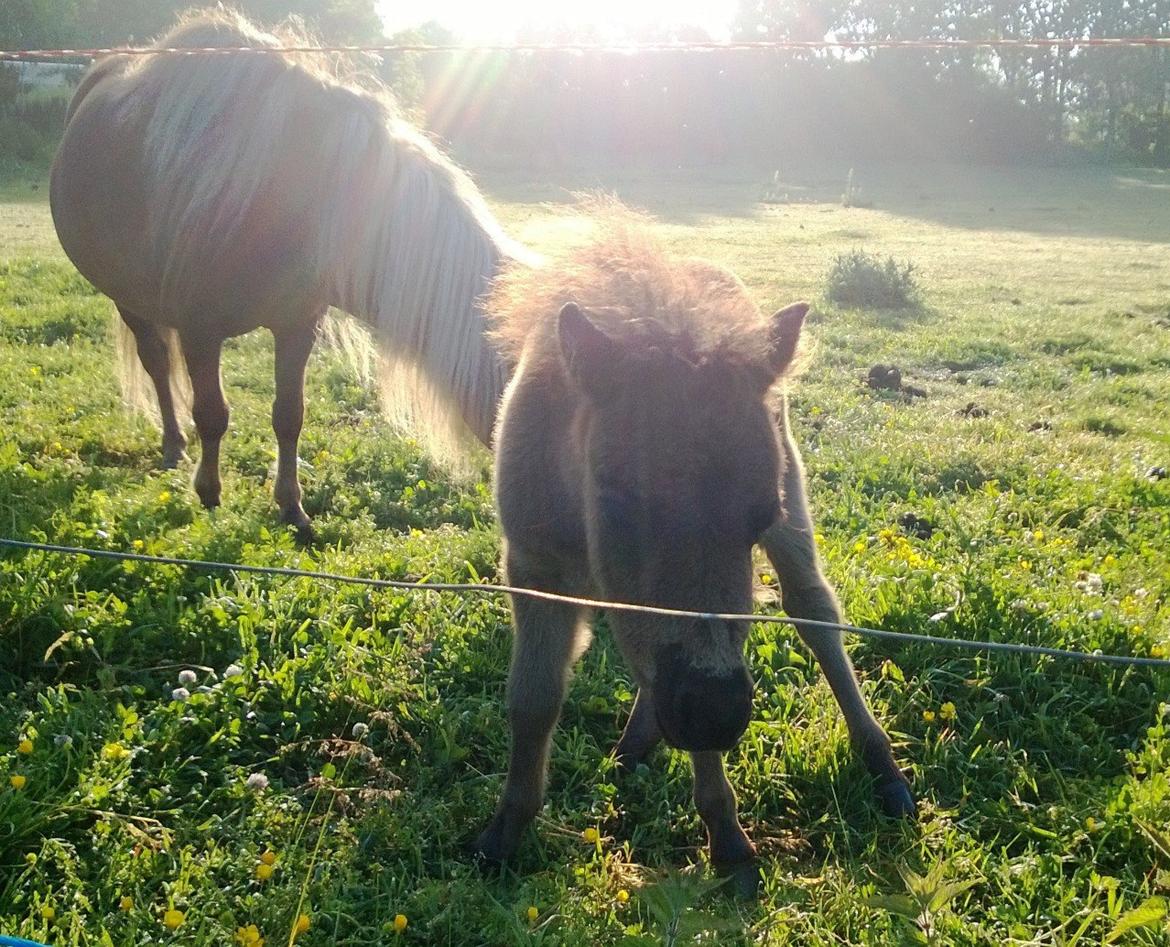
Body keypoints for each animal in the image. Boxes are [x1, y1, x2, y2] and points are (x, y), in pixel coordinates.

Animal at [475, 216, 912, 880]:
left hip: (795, 496)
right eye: (617, 499)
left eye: (759, 516)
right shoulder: (533, 566)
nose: (715, 711)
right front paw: (504, 832)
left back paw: (885, 771)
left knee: (814, 610)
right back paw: (634, 746)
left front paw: (728, 841)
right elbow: (534, 698)